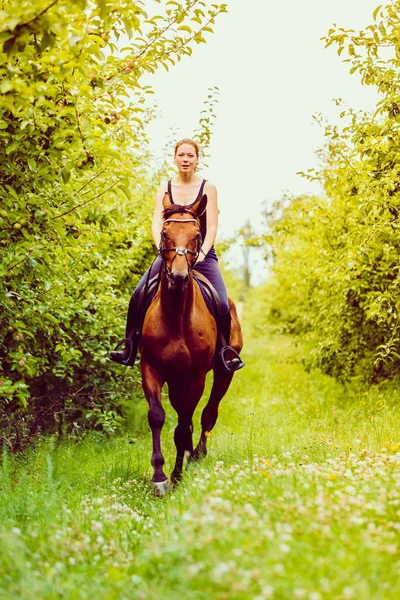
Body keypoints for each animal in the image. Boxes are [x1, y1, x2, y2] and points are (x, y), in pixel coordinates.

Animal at [139, 193, 242, 496]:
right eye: (164, 233)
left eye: (197, 235)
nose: (179, 276)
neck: (176, 315)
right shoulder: (151, 368)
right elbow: (157, 416)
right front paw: (159, 477)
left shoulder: (196, 376)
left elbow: (184, 424)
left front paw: (176, 475)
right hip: (176, 381)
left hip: (224, 372)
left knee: (209, 413)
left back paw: (197, 453)